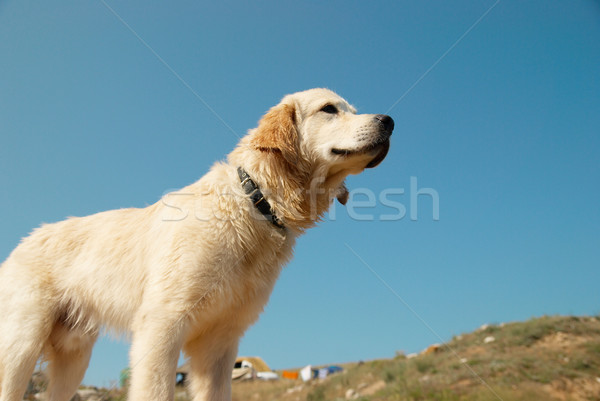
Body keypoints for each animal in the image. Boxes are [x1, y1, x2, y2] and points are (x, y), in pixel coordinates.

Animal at [0, 88, 394, 400]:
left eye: (352, 108)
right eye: (329, 109)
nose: (389, 121)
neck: (254, 203)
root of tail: (22, 242)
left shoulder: (219, 345)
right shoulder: (161, 326)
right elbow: (156, 391)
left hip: (74, 358)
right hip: (21, 347)